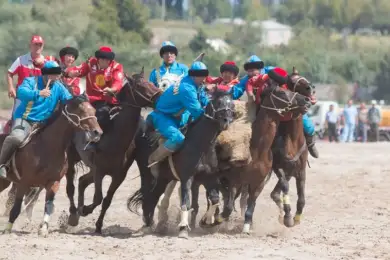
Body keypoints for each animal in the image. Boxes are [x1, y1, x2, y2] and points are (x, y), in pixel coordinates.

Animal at [0, 94, 102, 237]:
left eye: (93, 110)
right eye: (81, 110)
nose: (97, 132)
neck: (47, 147)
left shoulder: (53, 182)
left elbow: (48, 205)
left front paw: (43, 229)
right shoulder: (23, 183)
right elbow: (16, 208)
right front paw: (7, 229)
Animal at [65, 67, 161, 234]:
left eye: (151, 83)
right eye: (140, 86)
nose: (160, 95)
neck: (115, 137)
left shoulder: (118, 176)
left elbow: (107, 200)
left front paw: (98, 225)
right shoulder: (99, 171)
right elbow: (98, 197)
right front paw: (85, 210)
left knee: (82, 181)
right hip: (72, 157)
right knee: (71, 185)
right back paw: (73, 215)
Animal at [128, 89, 236, 238]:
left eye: (233, 104)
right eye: (218, 102)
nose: (227, 121)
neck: (200, 145)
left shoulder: (209, 178)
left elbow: (214, 199)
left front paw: (206, 221)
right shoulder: (187, 178)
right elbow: (186, 202)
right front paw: (184, 228)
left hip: (163, 179)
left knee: (153, 196)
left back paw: (150, 225)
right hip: (148, 175)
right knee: (148, 196)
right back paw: (148, 225)